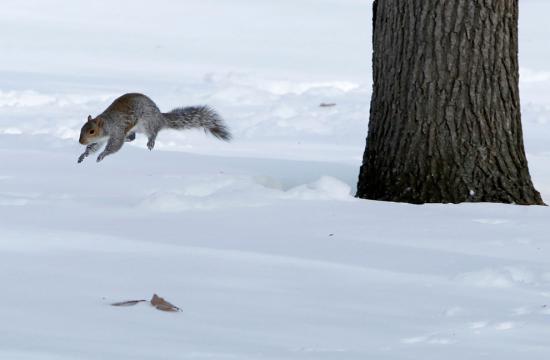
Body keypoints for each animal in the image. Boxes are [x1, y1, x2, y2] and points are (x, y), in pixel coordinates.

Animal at [77, 94, 231, 165]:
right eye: (81, 129)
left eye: (92, 131)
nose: (80, 142)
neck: (108, 123)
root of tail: (160, 117)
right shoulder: (100, 140)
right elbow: (93, 147)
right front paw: (83, 155)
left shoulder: (117, 131)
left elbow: (114, 146)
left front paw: (102, 155)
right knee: (132, 137)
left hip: (147, 123)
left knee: (153, 133)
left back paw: (150, 142)